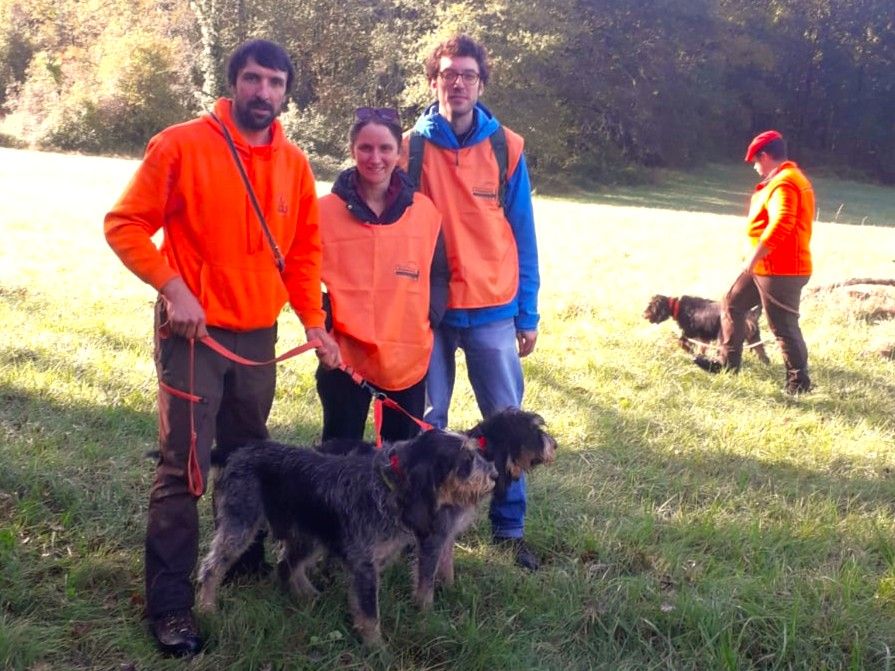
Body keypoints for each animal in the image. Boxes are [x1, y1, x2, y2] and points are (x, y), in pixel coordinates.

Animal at [196, 429, 497, 646]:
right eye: (467, 460)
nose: (494, 474)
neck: (386, 488)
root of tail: (236, 451)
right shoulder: (365, 566)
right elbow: (371, 615)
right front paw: (378, 650)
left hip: (309, 535)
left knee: (286, 565)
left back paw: (308, 596)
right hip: (240, 527)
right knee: (211, 568)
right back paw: (207, 608)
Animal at [317, 408, 558, 607]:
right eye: (534, 430)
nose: (555, 444)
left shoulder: (447, 533)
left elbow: (446, 564)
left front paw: (450, 590)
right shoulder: (431, 536)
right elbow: (426, 579)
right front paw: (425, 612)